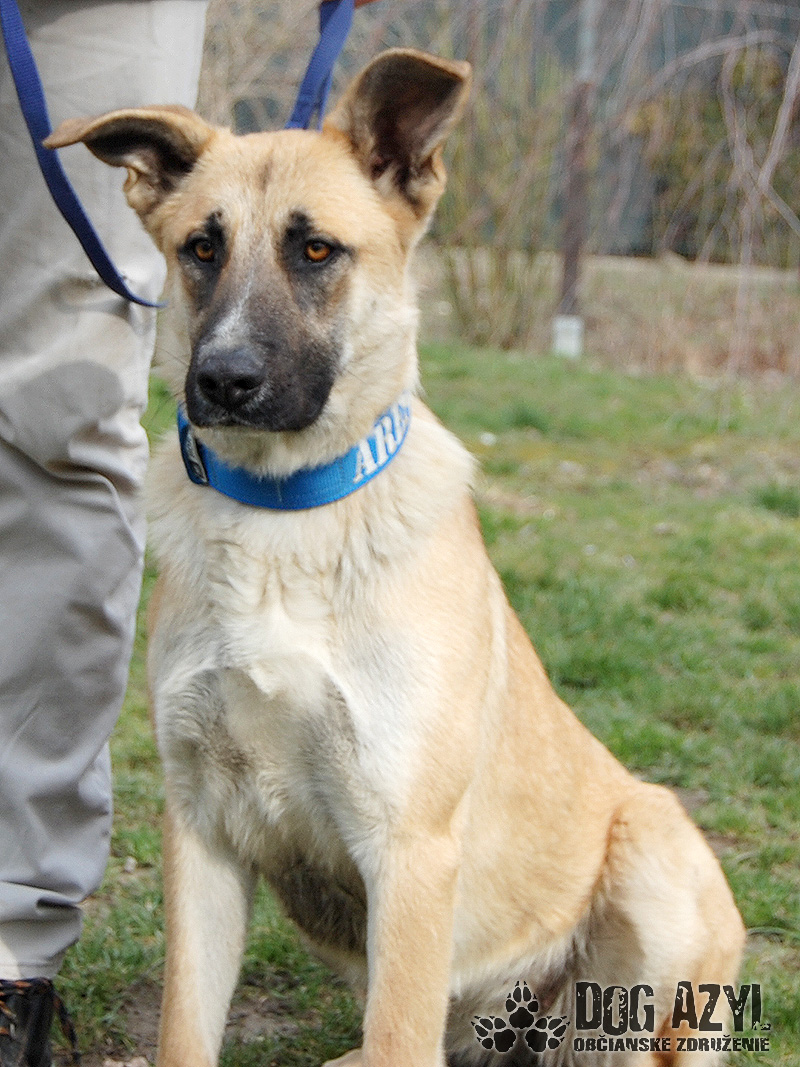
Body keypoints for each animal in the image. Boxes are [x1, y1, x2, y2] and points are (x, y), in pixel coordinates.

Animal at [47, 48, 745, 1067]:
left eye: (316, 251)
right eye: (201, 249)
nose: (222, 380)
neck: (284, 519)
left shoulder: (410, 850)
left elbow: (398, 1028)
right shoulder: (202, 832)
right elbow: (185, 1029)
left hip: (653, 855)